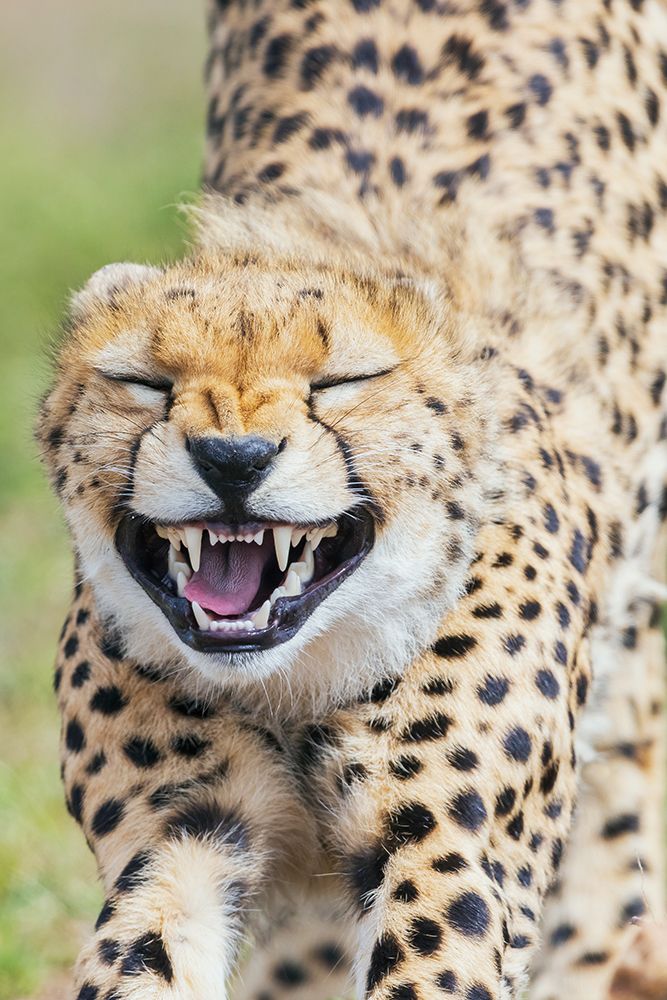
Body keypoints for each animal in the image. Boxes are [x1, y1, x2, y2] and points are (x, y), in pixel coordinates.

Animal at [36, 0, 667, 998]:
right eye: (144, 382)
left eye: (342, 382)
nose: (233, 457)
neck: (290, 679)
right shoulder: (182, 827)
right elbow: (145, 956)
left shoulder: (445, 838)